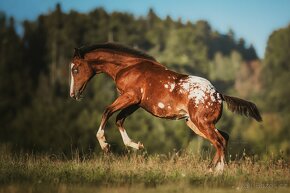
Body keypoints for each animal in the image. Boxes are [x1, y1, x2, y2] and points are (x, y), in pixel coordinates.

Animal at [69, 41, 262, 170]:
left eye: (75, 69)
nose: (73, 94)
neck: (127, 67)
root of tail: (218, 95)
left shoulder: (130, 97)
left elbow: (107, 111)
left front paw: (105, 145)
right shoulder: (136, 103)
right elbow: (119, 119)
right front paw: (136, 145)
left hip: (202, 123)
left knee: (220, 141)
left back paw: (218, 172)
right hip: (195, 123)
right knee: (223, 138)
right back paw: (210, 170)